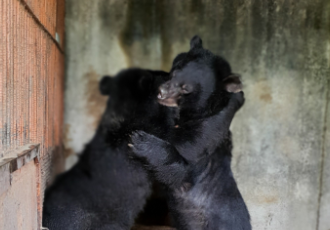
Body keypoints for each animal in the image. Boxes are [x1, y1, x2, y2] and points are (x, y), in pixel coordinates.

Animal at [130, 36, 251, 230]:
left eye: (185, 88)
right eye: (173, 72)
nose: (161, 93)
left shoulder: (203, 149)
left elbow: (183, 165)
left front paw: (140, 141)